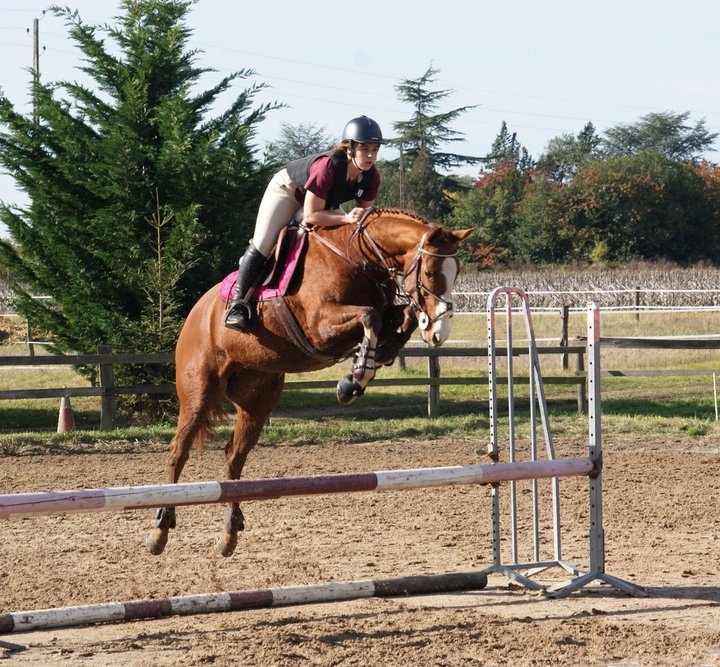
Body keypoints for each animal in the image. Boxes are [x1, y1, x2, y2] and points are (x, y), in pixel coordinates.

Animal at [146, 209, 472, 560]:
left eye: (457, 272)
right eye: (429, 271)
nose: (439, 333)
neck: (358, 257)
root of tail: (195, 313)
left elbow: (403, 315)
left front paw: (372, 361)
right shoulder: (321, 327)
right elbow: (370, 316)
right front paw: (354, 379)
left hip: (257, 400)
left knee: (234, 457)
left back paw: (229, 533)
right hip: (199, 393)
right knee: (178, 451)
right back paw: (160, 529)